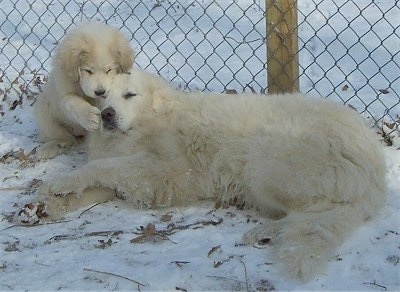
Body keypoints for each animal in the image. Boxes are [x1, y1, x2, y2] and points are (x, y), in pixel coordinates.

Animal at [34, 20, 134, 159]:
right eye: (88, 71)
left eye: (108, 70)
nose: (100, 91)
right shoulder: (64, 92)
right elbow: (71, 102)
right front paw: (90, 117)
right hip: (44, 110)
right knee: (65, 137)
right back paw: (53, 146)